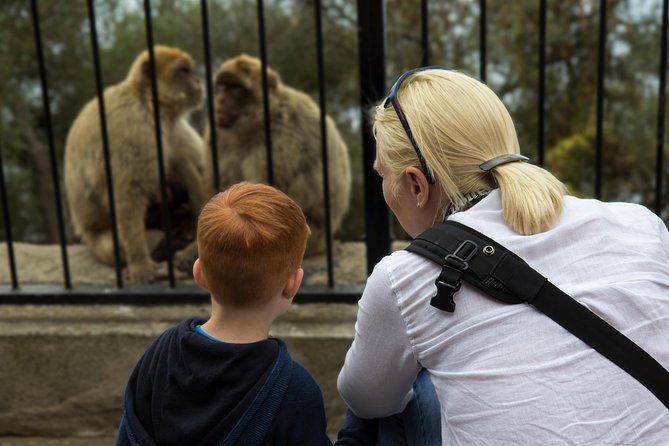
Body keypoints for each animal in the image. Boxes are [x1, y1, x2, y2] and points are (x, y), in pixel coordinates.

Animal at [63, 45, 209, 282]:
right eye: (183, 71)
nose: (198, 81)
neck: (149, 105)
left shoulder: (175, 129)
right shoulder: (131, 129)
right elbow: (129, 194)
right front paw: (141, 266)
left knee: (181, 162)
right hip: (98, 240)